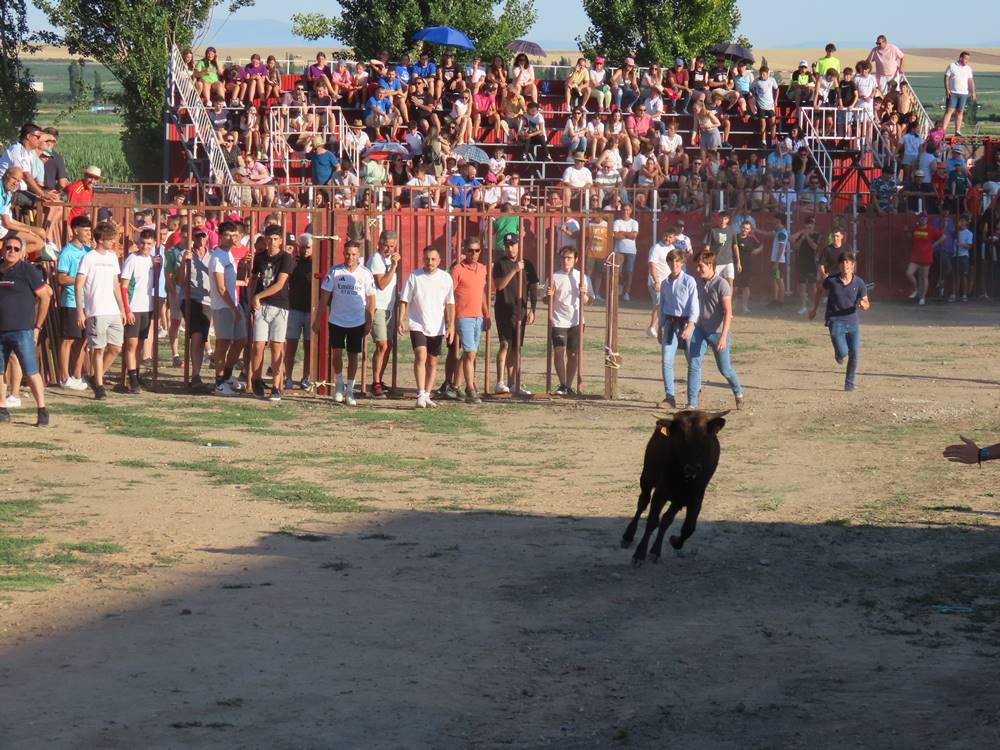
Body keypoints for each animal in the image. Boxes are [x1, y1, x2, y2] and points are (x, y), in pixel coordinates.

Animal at [620, 412, 732, 564]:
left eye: (704, 437)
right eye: (680, 438)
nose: (692, 468)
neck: (683, 480)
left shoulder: (695, 498)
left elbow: (688, 528)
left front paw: (674, 541)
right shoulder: (660, 493)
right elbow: (652, 521)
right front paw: (639, 554)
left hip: (677, 500)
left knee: (666, 520)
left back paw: (655, 551)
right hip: (647, 477)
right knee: (642, 503)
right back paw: (628, 536)